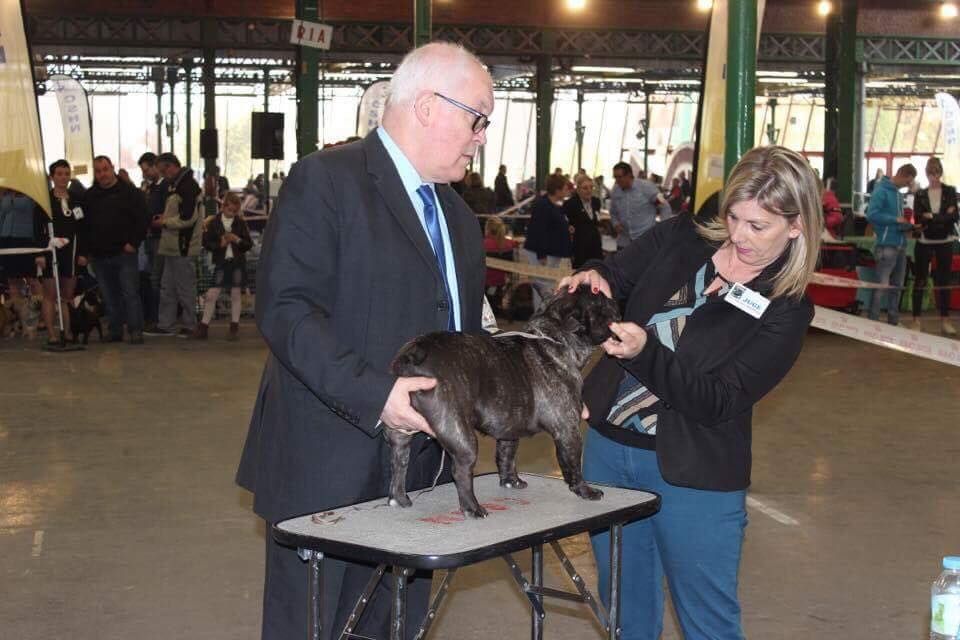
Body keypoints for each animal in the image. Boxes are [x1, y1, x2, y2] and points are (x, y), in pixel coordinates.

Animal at [387, 284, 621, 518]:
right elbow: (572, 462)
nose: (614, 301)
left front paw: (511, 481)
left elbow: (507, 454)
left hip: (400, 431)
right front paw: (584, 490)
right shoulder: (568, 429)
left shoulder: (510, 429)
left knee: (399, 462)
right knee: (460, 471)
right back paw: (473, 508)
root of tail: (416, 351)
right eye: (601, 302)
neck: (555, 338)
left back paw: (399, 499)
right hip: (458, 430)